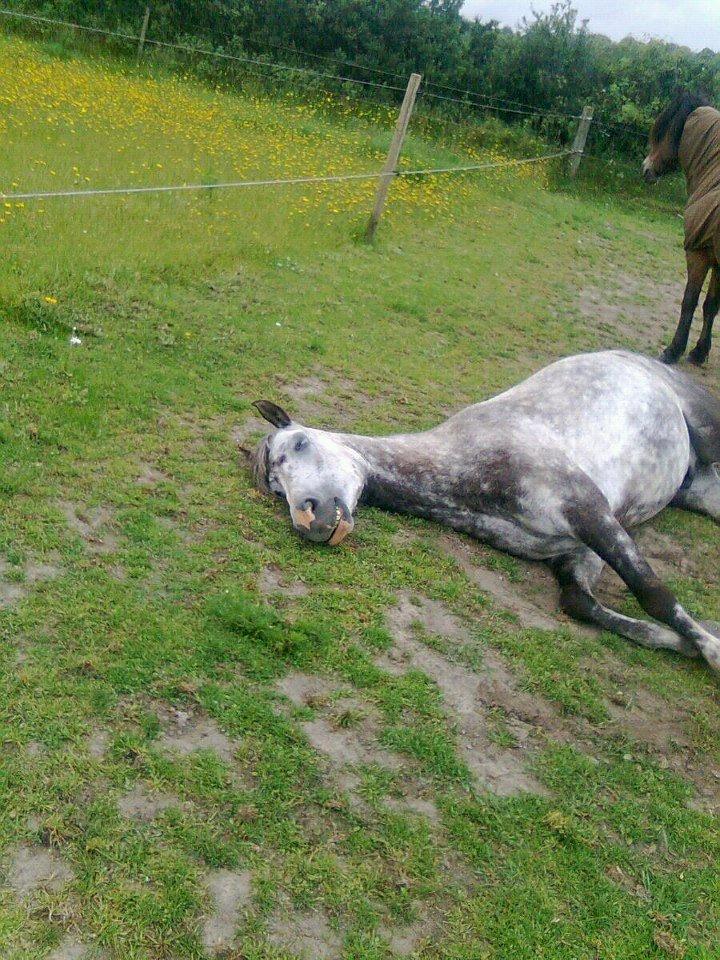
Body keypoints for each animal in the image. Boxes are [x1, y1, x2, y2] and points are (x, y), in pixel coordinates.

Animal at [251, 351, 720, 672]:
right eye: (275, 487)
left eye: (301, 443)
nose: (307, 519)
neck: (467, 470)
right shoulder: (576, 549)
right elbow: (579, 602)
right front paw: (687, 642)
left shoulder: (589, 510)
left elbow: (652, 593)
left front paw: (712, 651)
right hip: (698, 488)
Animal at [643, 89, 720, 365]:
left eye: (661, 133)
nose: (645, 169)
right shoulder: (716, 260)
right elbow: (710, 305)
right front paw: (699, 352)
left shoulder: (699, 253)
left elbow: (689, 301)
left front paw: (673, 350)